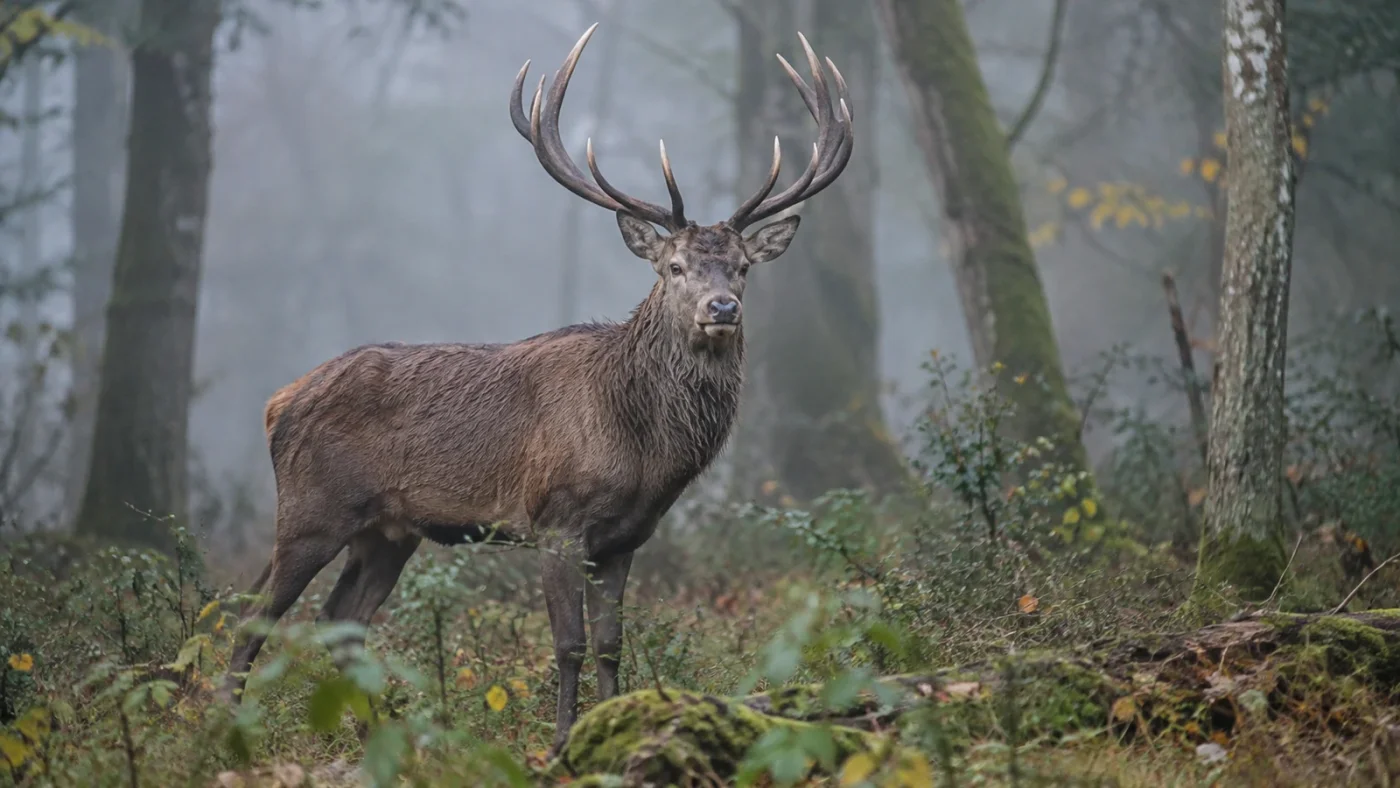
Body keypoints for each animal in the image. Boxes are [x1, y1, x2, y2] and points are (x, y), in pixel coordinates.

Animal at [220, 23, 854, 753]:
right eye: (673, 266)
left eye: (745, 266)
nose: (721, 308)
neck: (644, 450)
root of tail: (278, 403)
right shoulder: (557, 519)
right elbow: (568, 643)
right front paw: (559, 744)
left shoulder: (626, 538)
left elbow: (610, 643)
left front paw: (615, 725)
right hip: (311, 509)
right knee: (249, 615)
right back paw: (224, 732)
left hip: (387, 532)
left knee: (340, 621)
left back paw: (379, 738)